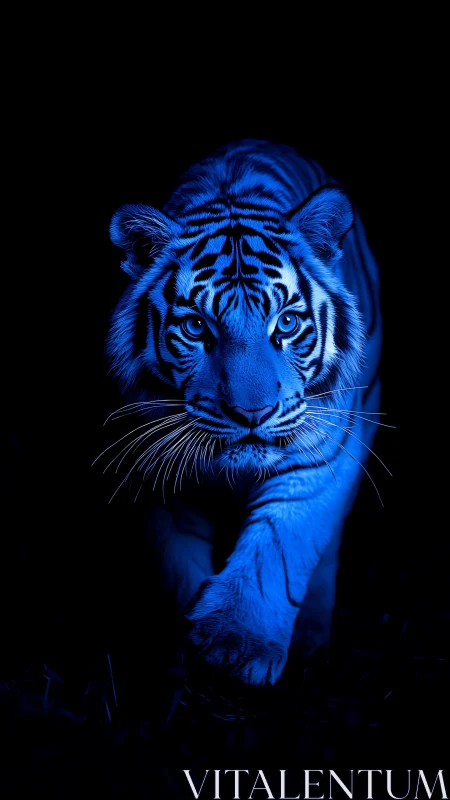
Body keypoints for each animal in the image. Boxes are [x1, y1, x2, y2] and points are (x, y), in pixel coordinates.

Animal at [104, 139, 383, 687]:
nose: (252, 413)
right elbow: (175, 564)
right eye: (196, 327)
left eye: (287, 323)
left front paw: (238, 643)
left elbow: (278, 548)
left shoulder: (318, 459)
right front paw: (182, 654)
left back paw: (312, 636)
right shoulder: (158, 469)